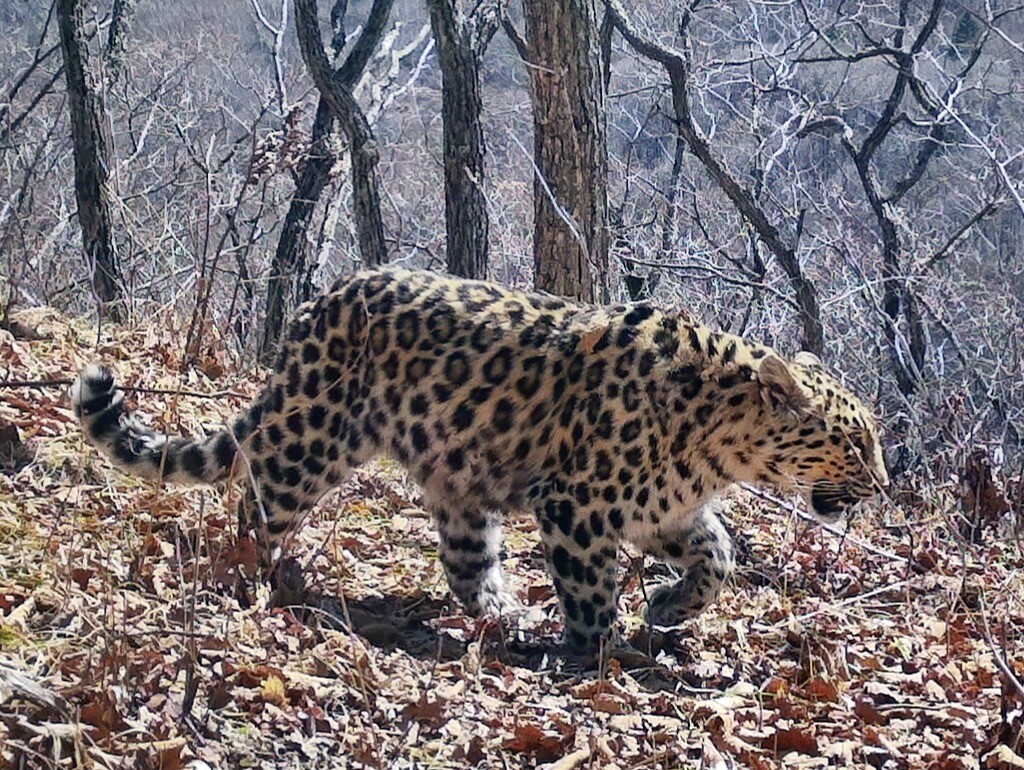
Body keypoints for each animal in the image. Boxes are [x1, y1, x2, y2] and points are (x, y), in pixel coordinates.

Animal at [72, 268, 888, 651]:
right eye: (853, 441)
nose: (882, 484)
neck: (718, 441)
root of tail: (318, 303)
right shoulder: (578, 505)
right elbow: (592, 591)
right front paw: (599, 652)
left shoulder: (664, 510)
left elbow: (718, 557)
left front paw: (666, 608)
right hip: (314, 437)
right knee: (258, 496)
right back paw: (260, 577)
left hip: (458, 479)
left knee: (467, 564)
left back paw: (503, 613)